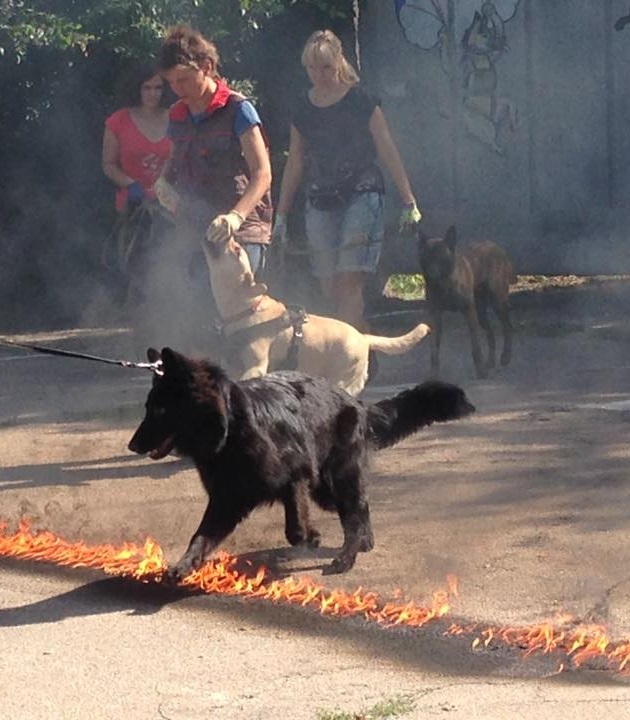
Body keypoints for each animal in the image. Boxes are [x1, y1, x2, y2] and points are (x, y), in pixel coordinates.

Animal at [127, 348, 474, 580]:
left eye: (159, 409)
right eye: (148, 407)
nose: (132, 445)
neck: (231, 432)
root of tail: (355, 402)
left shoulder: (295, 477)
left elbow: (294, 527)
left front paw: (311, 537)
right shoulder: (226, 501)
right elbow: (200, 537)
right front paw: (185, 565)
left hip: (337, 478)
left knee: (355, 512)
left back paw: (346, 557)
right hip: (325, 489)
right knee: (357, 510)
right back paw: (364, 542)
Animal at [202, 235, 430, 394]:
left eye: (237, 249)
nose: (228, 235)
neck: (247, 307)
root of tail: (363, 337)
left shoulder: (255, 367)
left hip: (344, 379)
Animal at [420, 228, 520, 380]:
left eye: (440, 257)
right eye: (426, 257)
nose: (431, 274)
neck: (445, 285)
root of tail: (498, 247)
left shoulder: (469, 312)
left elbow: (476, 346)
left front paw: (480, 371)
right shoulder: (435, 316)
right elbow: (434, 349)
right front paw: (433, 374)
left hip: (497, 302)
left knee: (507, 327)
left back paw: (505, 357)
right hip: (481, 312)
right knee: (490, 332)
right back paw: (490, 361)